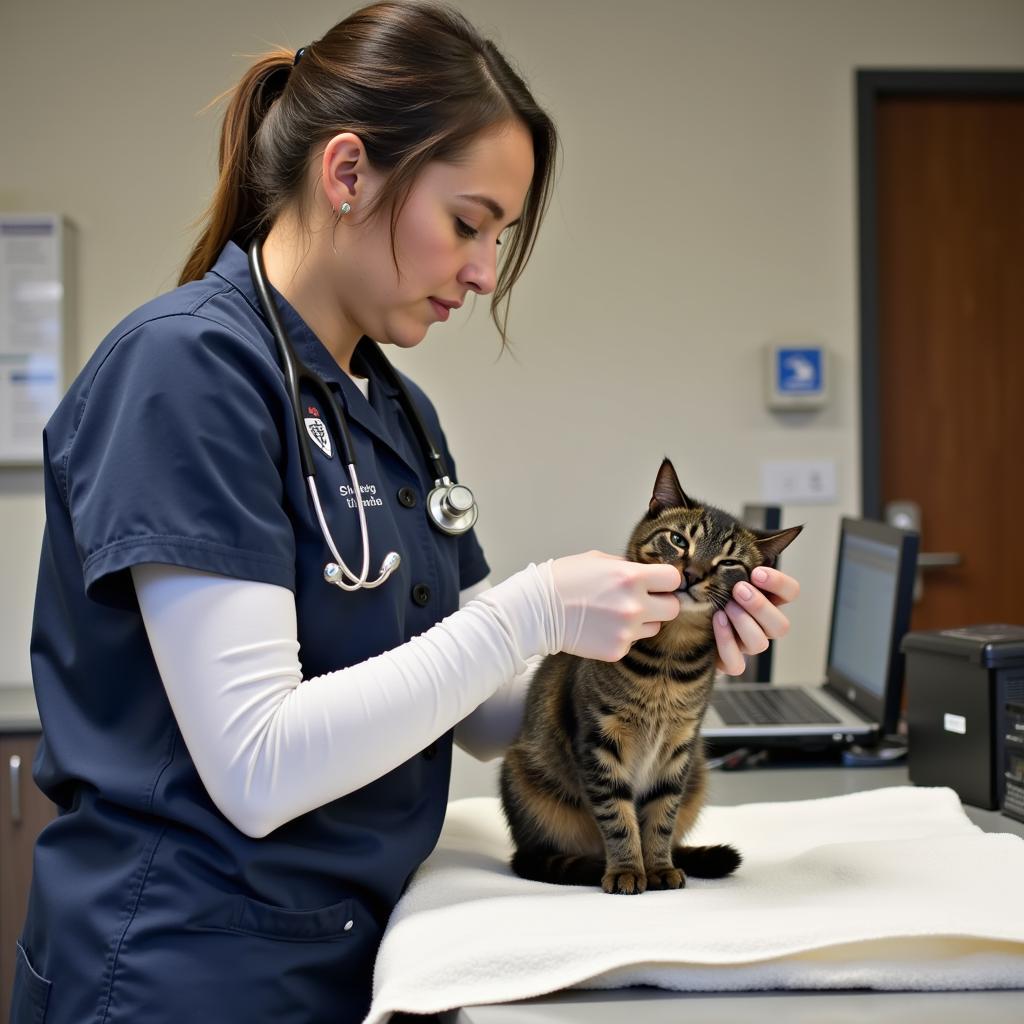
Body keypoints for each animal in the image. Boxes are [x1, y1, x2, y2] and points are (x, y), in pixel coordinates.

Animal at [499, 460, 802, 892]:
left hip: (698, 773)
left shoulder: (679, 749)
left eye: (729, 563)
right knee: (533, 856)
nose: (691, 574)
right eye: (678, 539)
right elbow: (618, 817)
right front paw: (627, 869)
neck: (668, 662)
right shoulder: (600, 741)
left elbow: (660, 817)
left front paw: (658, 866)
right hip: (522, 777)